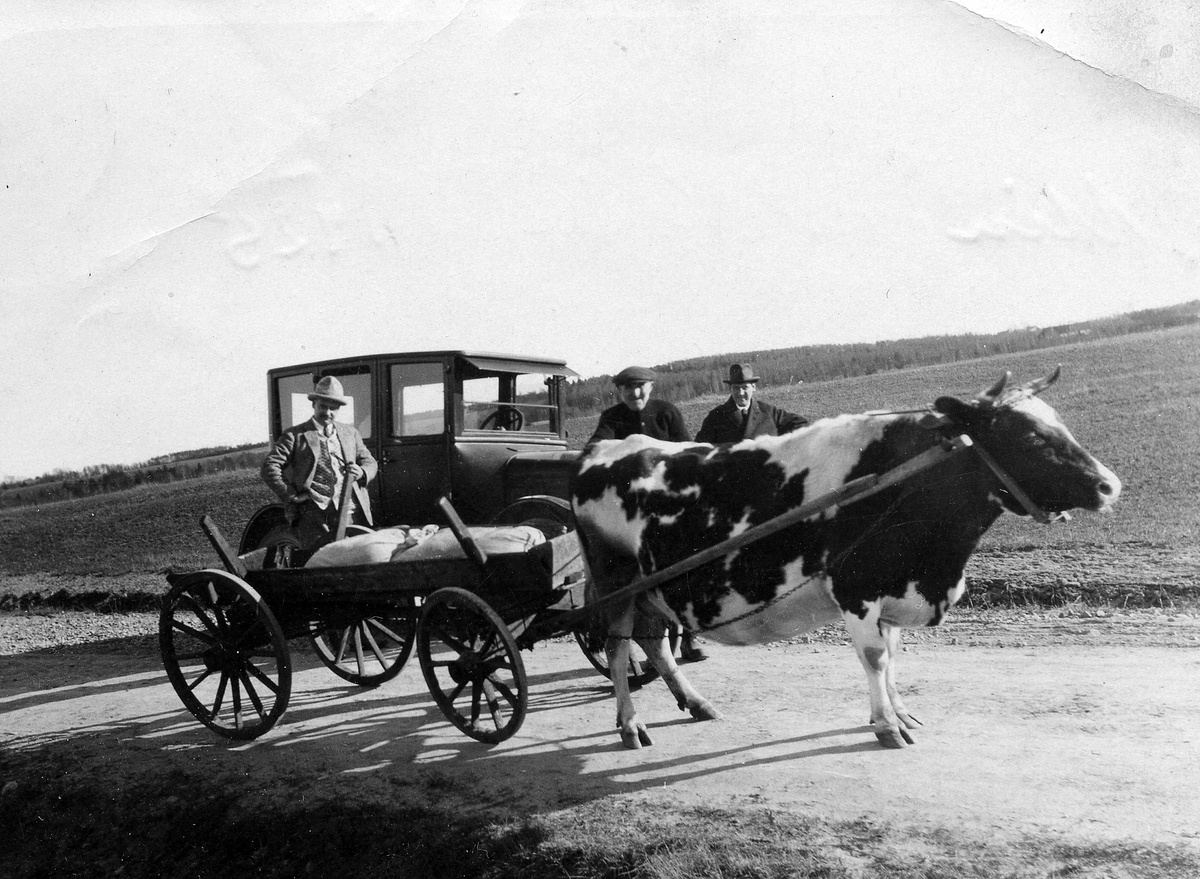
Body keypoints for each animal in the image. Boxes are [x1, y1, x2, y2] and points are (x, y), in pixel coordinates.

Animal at [566, 369, 1118, 749]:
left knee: (653, 643)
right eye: (1029, 436)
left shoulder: (893, 587)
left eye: (1059, 424)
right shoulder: (858, 586)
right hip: (616, 584)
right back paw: (630, 724)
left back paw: (697, 704)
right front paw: (887, 727)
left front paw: (900, 711)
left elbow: (893, 655)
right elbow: (875, 658)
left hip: (651, 589)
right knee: (617, 647)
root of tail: (605, 447)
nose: (1110, 485)